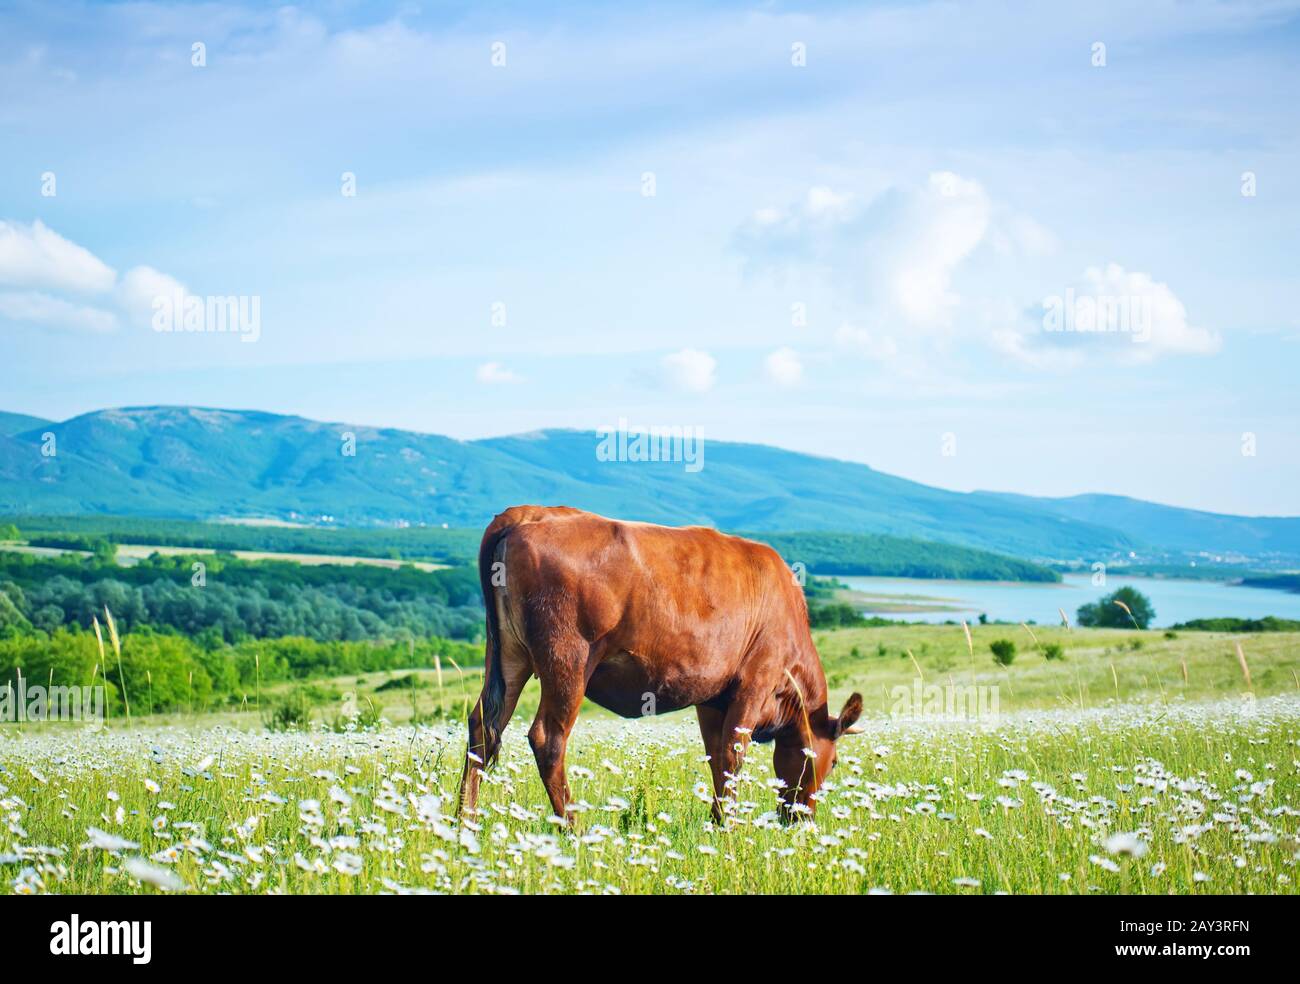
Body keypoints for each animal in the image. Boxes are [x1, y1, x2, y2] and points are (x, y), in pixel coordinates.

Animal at [456, 505, 863, 823]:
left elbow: (716, 756)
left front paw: (716, 821)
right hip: (568, 662)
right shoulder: (754, 683)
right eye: (834, 762)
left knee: (482, 727)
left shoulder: (712, 698)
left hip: (508, 657)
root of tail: (528, 514)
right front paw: (729, 827)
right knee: (547, 739)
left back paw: (465, 820)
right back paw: (572, 826)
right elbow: (733, 757)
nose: (801, 817)